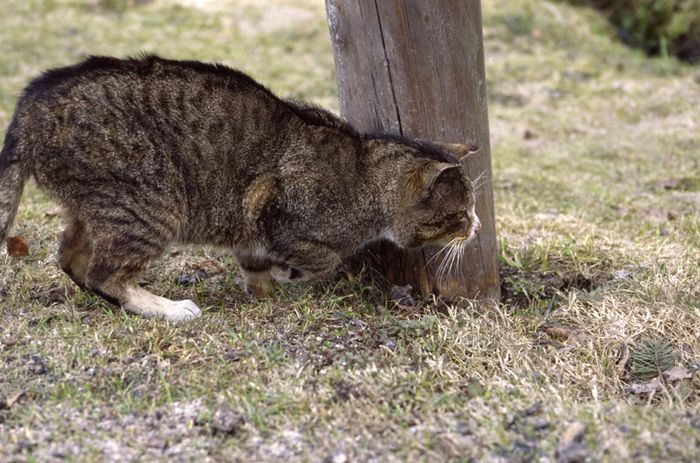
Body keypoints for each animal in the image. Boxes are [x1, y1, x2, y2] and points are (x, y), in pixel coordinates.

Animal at [0, 55, 482, 322]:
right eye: (460, 213)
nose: (477, 227)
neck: (363, 170)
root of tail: (31, 101)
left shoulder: (253, 223)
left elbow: (256, 266)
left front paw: (266, 294)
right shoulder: (273, 208)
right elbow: (324, 257)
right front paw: (294, 273)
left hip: (96, 205)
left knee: (73, 260)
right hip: (152, 202)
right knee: (105, 272)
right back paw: (167, 309)